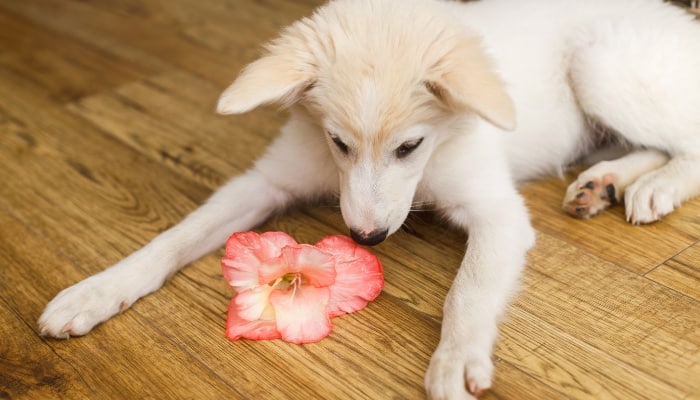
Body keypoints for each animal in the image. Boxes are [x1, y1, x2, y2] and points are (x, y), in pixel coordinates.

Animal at [38, 0, 700, 398]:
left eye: (410, 146)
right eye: (338, 142)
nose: (366, 239)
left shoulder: (496, 211)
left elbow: (468, 292)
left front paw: (455, 361)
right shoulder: (270, 179)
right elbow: (172, 237)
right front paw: (96, 291)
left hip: (602, 66)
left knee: (686, 141)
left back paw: (655, 186)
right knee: (642, 143)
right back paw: (604, 183)